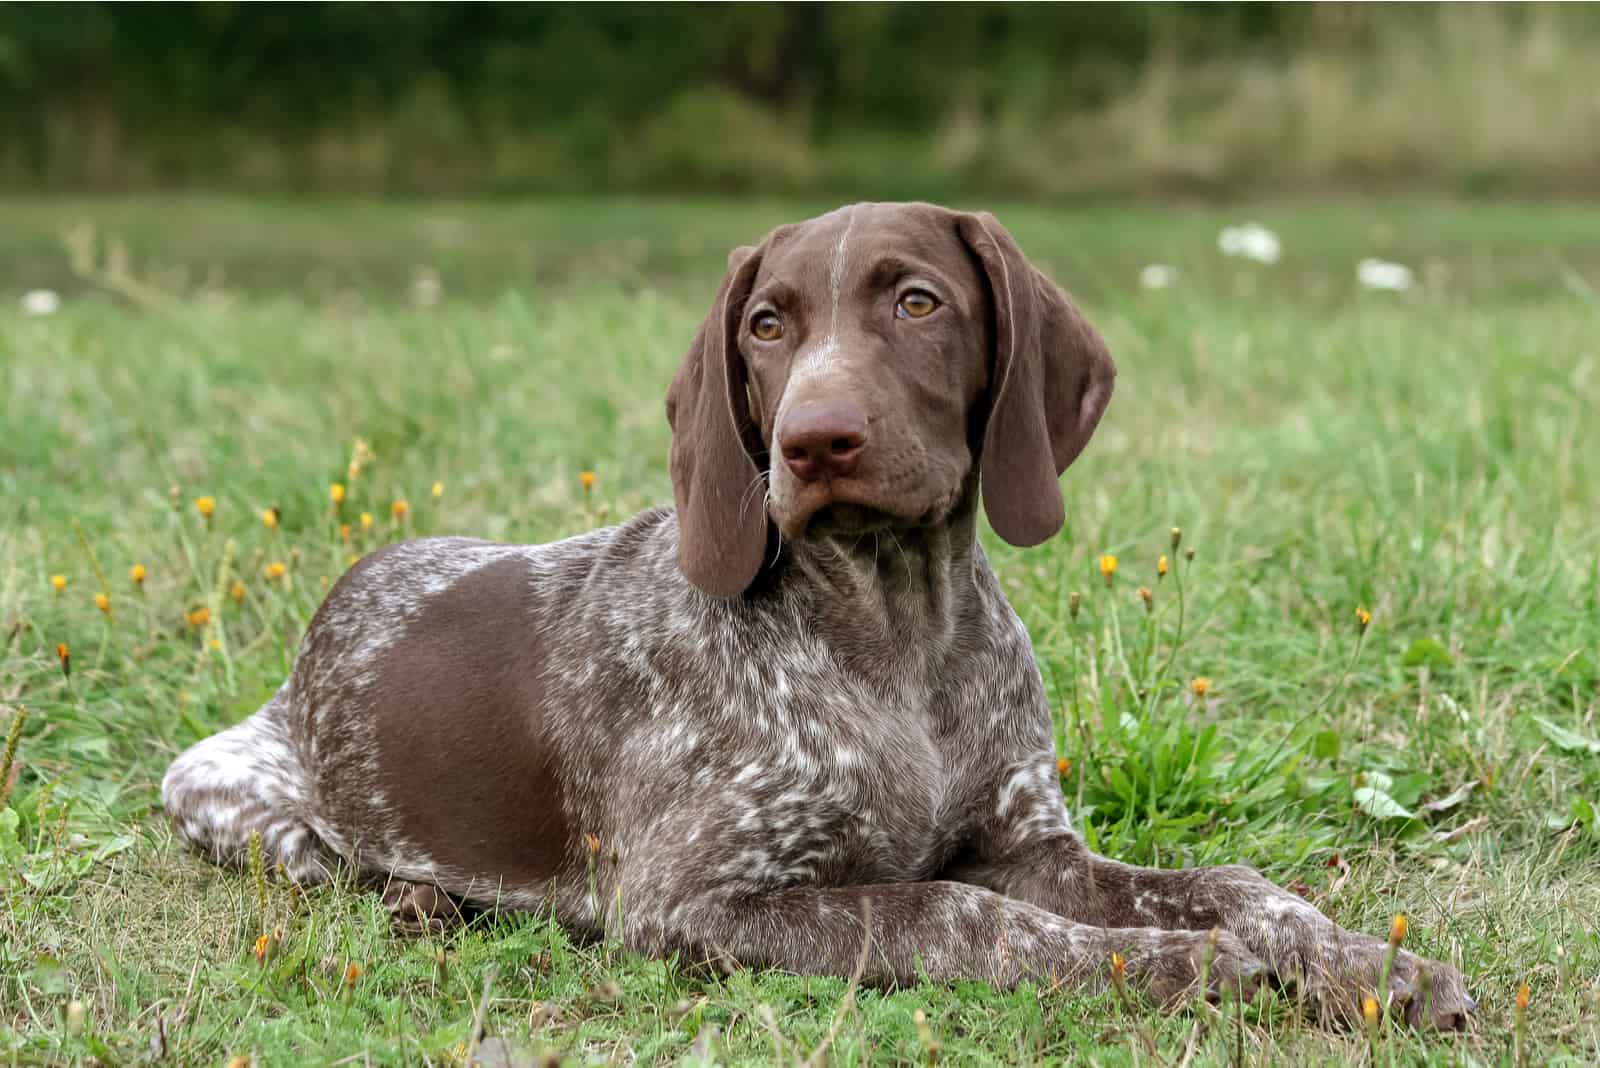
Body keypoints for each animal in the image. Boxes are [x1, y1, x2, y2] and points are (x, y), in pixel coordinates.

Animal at [162, 199, 1472, 1023]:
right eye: (766, 323)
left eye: (917, 303)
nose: (813, 440)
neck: (896, 632)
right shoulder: (692, 903)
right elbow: (956, 915)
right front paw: (1182, 966)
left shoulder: (1031, 846)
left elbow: (1239, 884)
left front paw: (1362, 962)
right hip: (221, 791)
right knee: (327, 859)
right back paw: (419, 895)